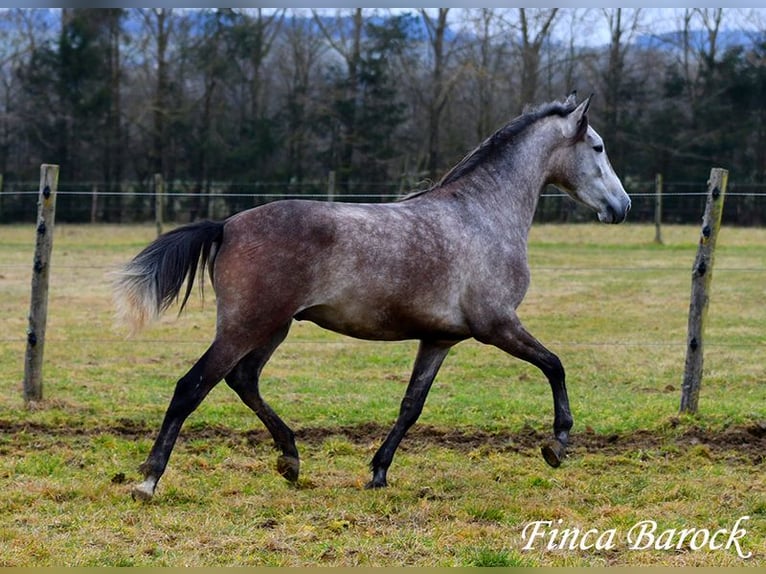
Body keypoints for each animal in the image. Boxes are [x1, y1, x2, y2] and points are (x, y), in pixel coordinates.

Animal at [112, 92, 632, 502]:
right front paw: (557, 444)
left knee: (243, 380)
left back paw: (290, 460)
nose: (622, 206)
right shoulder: (497, 325)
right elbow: (554, 365)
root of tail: (227, 225)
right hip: (246, 325)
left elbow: (411, 405)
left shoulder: (440, 339)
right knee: (193, 386)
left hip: (272, 327)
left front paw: (378, 473)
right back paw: (149, 481)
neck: (482, 214)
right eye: (599, 146)